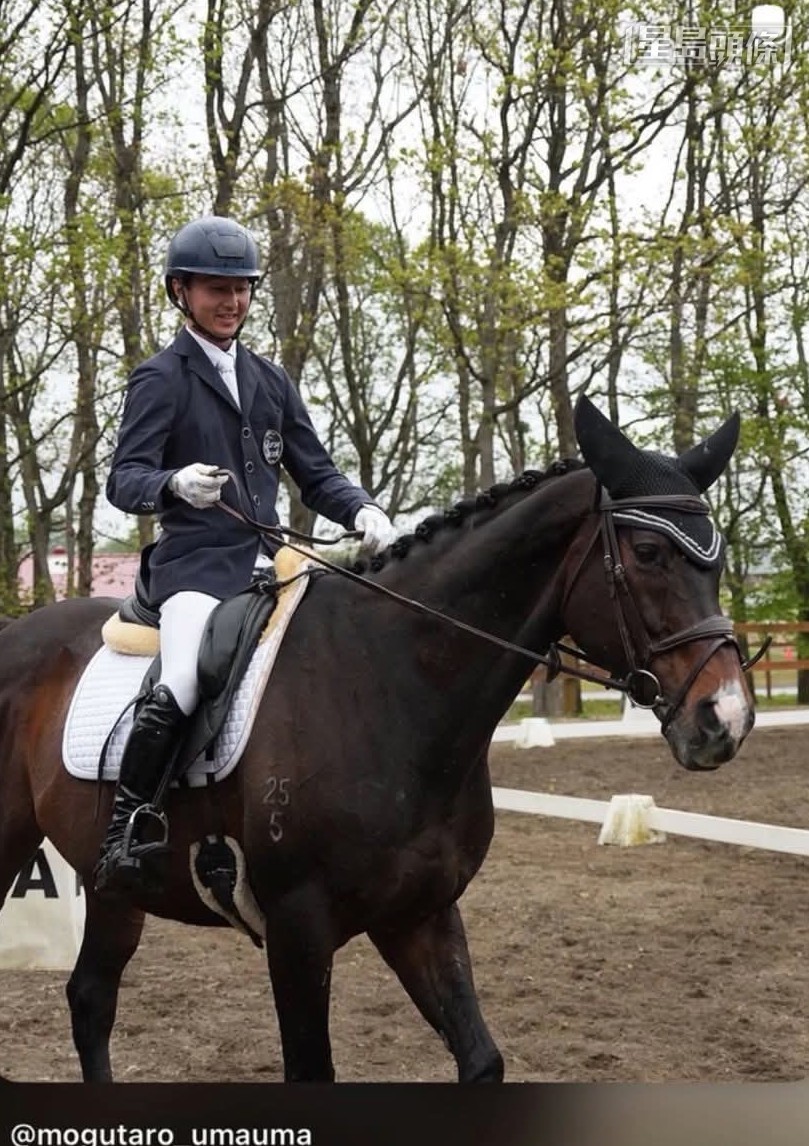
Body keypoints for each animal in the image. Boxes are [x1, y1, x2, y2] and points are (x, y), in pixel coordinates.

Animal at [0, 396, 755, 1083]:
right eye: (649, 553)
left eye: (715, 560)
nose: (725, 719)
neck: (390, 681)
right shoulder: (297, 932)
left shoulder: (419, 912)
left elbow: (480, 1060)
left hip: (113, 888)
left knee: (90, 1000)